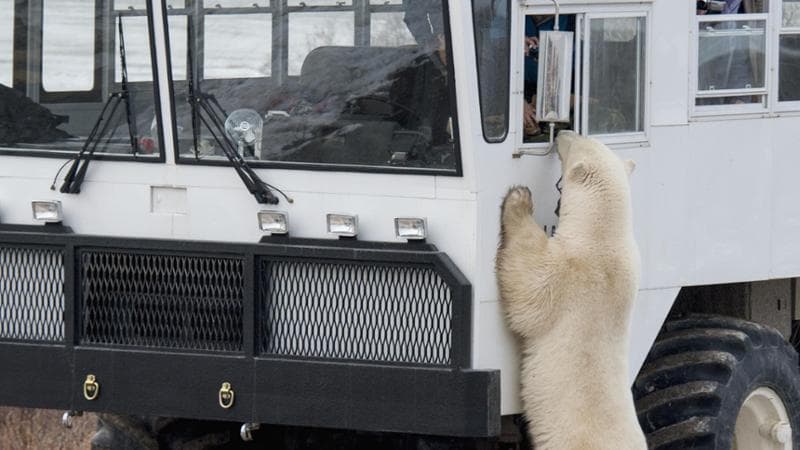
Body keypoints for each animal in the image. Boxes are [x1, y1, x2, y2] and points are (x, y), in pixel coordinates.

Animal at [496, 131, 646, 450]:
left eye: (575, 142)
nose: (564, 133)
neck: (605, 234)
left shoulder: (571, 271)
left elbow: (527, 284)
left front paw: (518, 198)